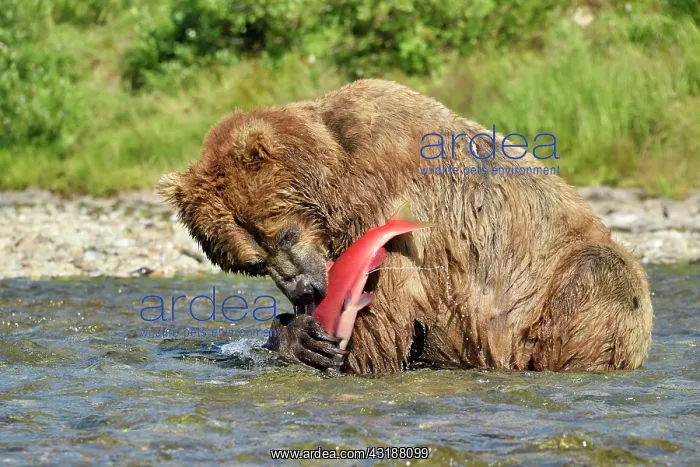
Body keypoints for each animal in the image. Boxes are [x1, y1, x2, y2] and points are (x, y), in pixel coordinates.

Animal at [157, 79, 653, 374]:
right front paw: (299, 336)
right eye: (254, 263)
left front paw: (330, 346)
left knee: (595, 283)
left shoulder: (395, 210)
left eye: (284, 233)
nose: (304, 291)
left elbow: (382, 327)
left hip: (575, 285)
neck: (337, 177)